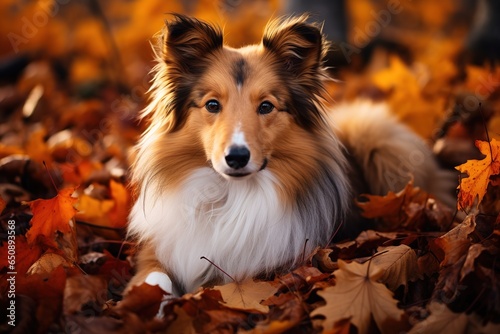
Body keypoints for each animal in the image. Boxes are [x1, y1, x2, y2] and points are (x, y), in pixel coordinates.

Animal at [127, 15, 456, 294]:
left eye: (266, 106)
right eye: (212, 105)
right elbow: (153, 279)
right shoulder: (158, 251)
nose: (237, 157)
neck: (229, 195)